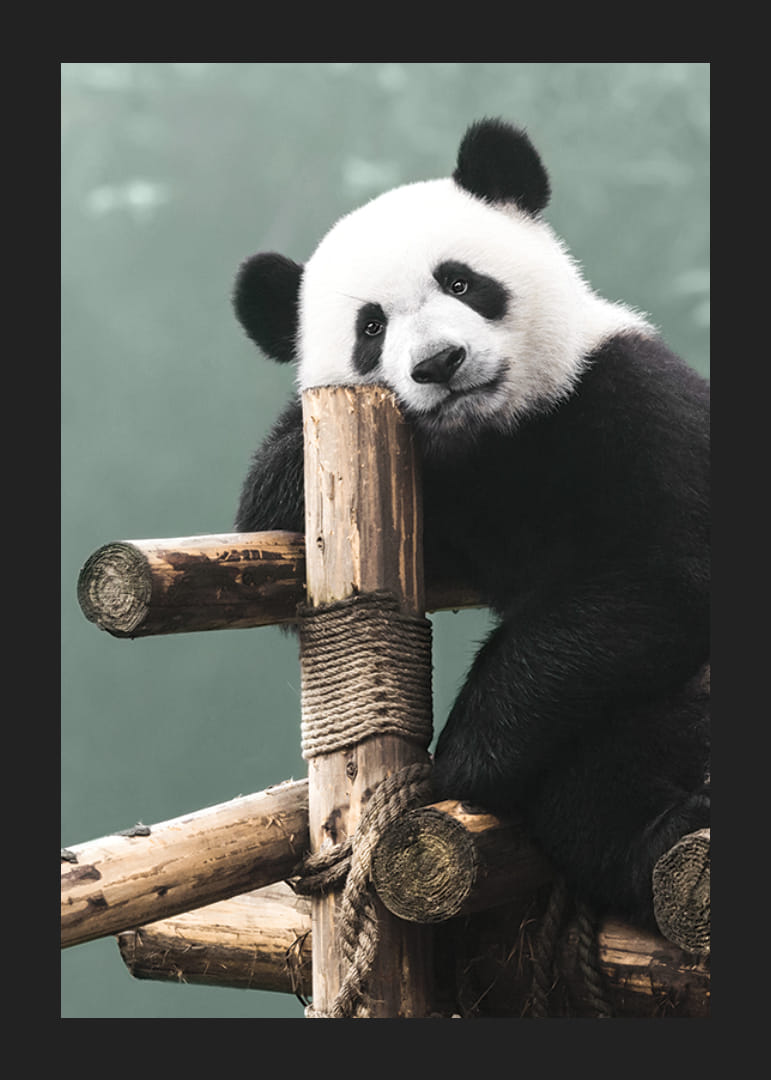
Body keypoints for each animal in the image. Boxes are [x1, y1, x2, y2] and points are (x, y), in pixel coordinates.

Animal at [232, 119, 709, 930]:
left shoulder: (633, 401)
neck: (496, 434)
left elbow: (658, 578)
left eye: (460, 282)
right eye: (370, 327)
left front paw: (460, 759)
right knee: (597, 791)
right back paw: (664, 832)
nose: (438, 362)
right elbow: (264, 520)